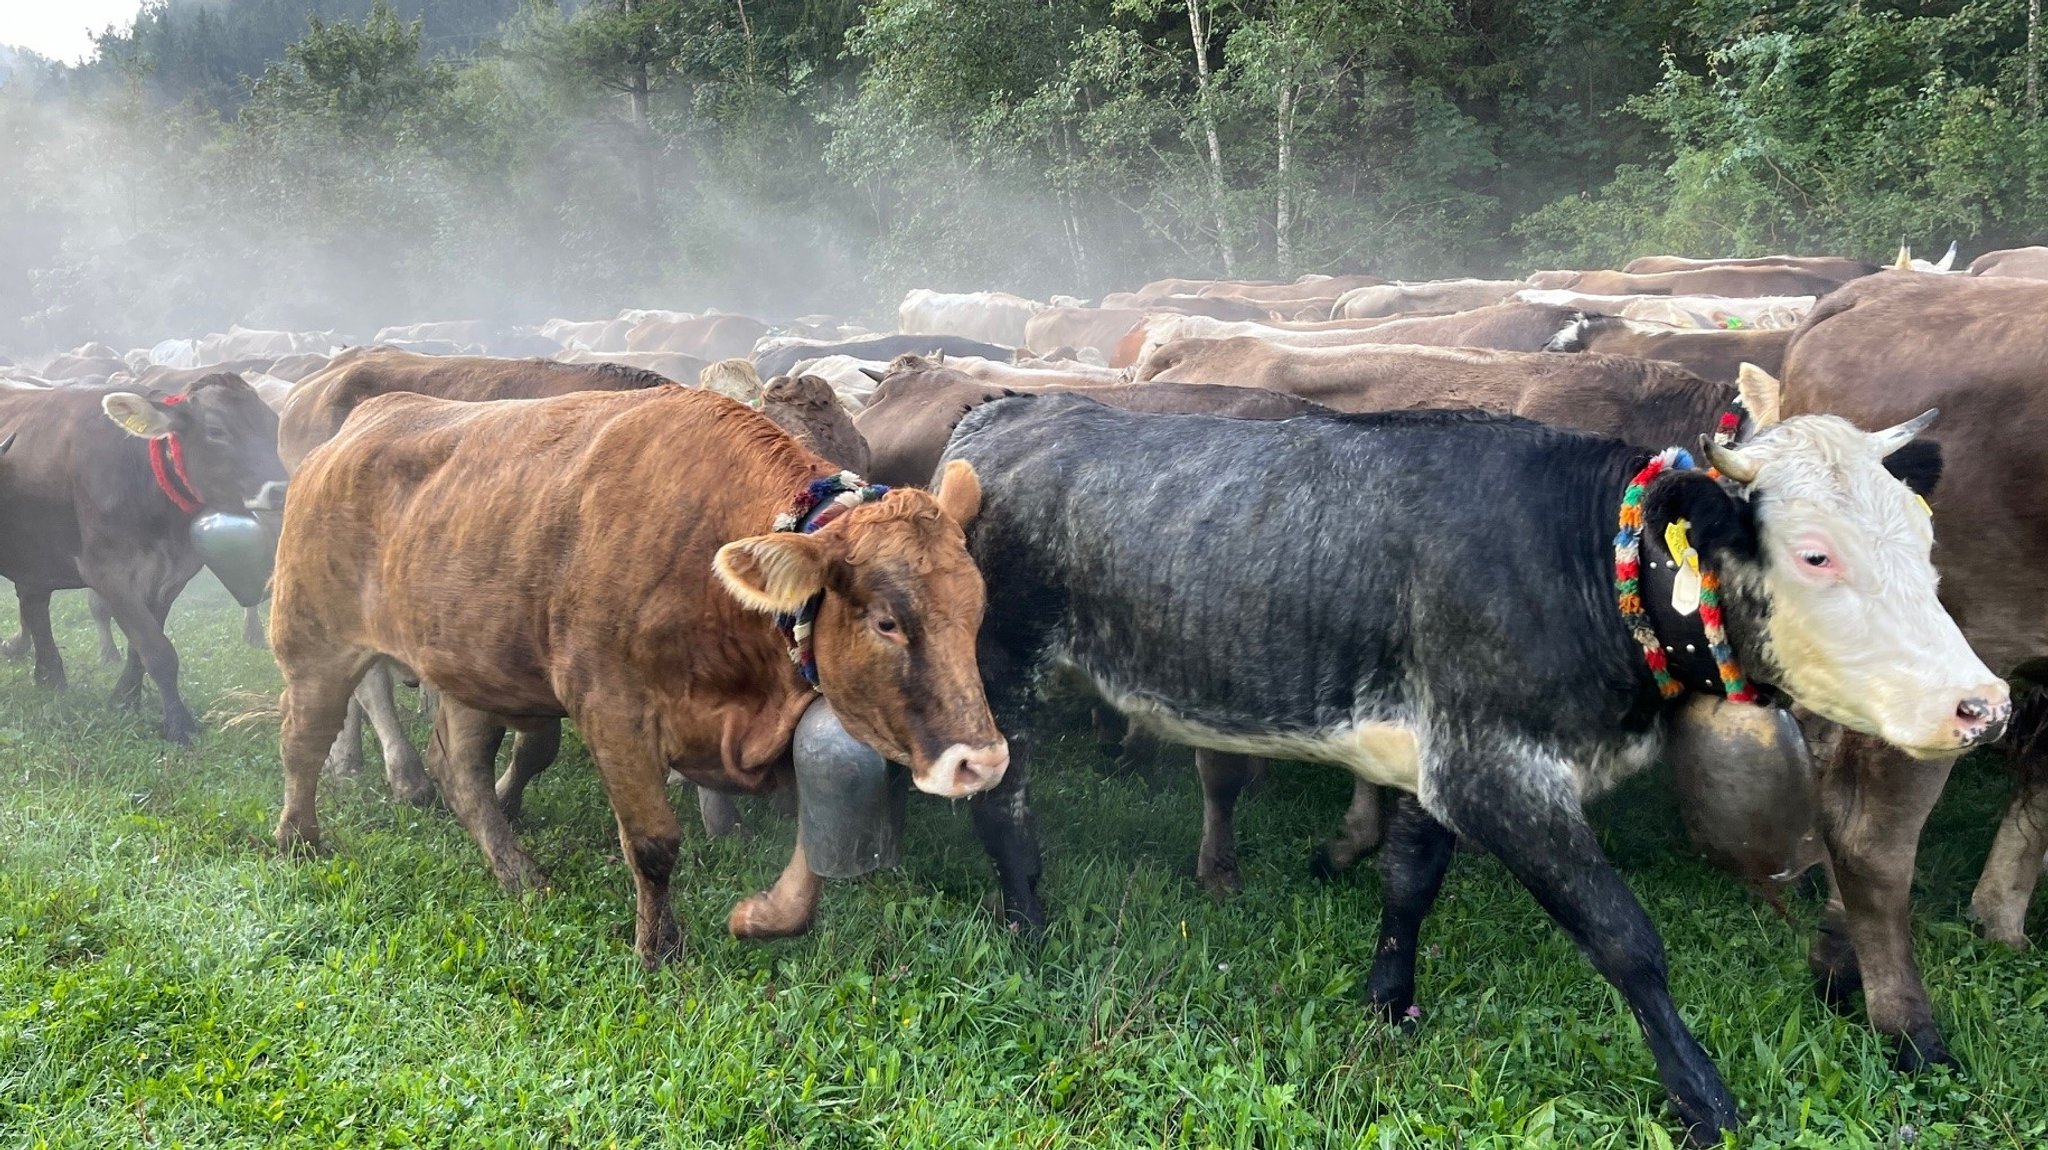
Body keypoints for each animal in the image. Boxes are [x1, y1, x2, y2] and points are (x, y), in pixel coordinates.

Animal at [0, 372, 290, 736]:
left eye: (273, 425)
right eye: (216, 430)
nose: (281, 490)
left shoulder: (170, 576)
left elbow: (142, 646)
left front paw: (125, 700)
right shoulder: (105, 572)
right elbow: (158, 649)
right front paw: (179, 726)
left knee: (33, 600)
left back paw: (49, 676)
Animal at [272, 388, 1007, 961]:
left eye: (977, 609)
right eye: (886, 621)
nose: (983, 761)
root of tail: (371, 415)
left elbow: (811, 844)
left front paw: (762, 916)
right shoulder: (612, 709)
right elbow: (654, 843)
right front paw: (659, 949)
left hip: (467, 665)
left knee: (460, 769)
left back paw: (517, 871)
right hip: (313, 643)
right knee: (303, 743)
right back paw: (298, 839)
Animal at [950, 390, 2007, 1137]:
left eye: (1924, 538)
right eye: (1816, 555)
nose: (1983, 704)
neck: (1582, 563)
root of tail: (1012, 407)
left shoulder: (1438, 756)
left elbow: (1411, 880)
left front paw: (1390, 1002)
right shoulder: (1498, 770)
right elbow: (1625, 936)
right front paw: (1703, 1099)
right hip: (1000, 666)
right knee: (1000, 795)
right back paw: (1029, 920)